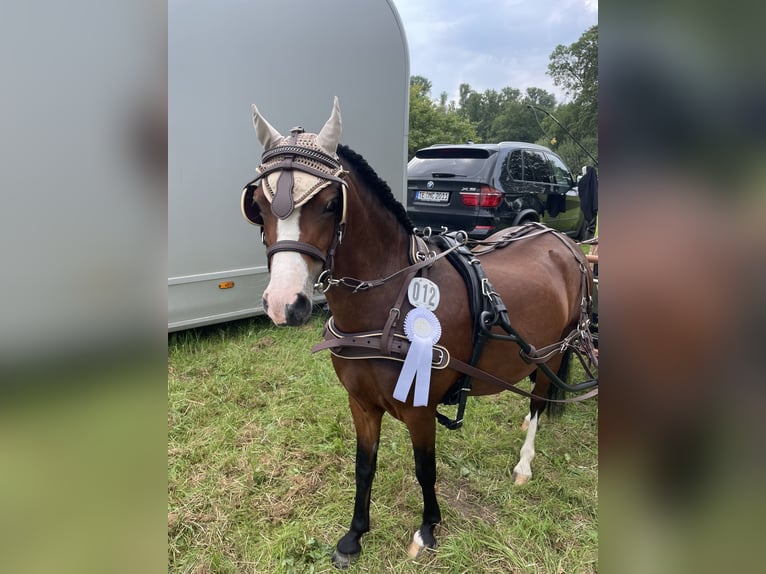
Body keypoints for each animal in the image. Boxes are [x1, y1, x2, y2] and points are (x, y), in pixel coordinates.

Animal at [243, 98, 596, 568]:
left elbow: (424, 468)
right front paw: (354, 535)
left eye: (330, 204)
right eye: (259, 204)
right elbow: (364, 465)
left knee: (540, 398)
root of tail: (564, 240)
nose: (285, 303)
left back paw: (525, 461)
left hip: (554, 348)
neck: (387, 306)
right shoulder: (361, 403)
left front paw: (428, 528)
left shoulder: (421, 407)